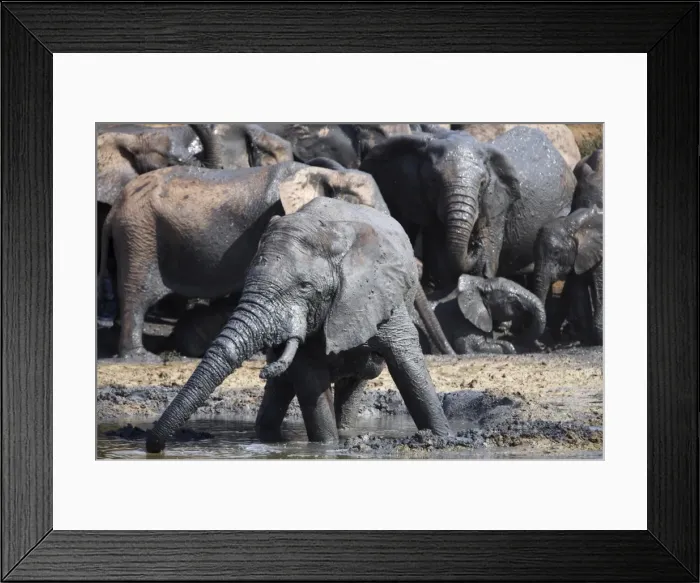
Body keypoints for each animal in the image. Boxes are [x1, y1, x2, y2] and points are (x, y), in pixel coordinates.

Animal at [99, 161, 453, 360]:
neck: (326, 172)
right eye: (365, 209)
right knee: (137, 294)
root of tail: (114, 209)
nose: (449, 354)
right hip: (139, 234)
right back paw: (140, 358)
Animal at [145, 197, 452, 453]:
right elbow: (309, 376)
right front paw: (326, 447)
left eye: (304, 287)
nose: (154, 447)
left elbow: (407, 363)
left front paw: (441, 436)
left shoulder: (378, 293)